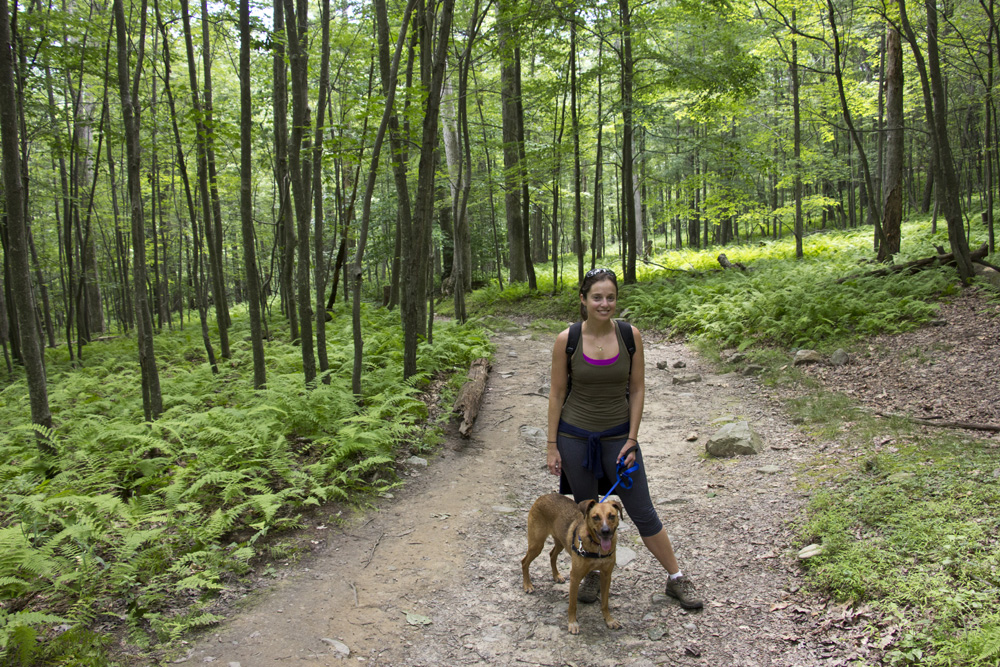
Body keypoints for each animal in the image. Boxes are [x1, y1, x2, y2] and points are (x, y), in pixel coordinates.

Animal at [520, 494, 620, 636]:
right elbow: (572, 604)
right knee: (524, 562)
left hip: (560, 542)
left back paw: (556, 576)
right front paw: (572, 624)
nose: (605, 531)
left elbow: (605, 603)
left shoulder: (606, 575)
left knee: (552, 555)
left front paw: (609, 620)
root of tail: (543, 496)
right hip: (537, 544)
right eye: (595, 517)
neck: (596, 547)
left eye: (612, 516)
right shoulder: (575, 576)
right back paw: (527, 585)